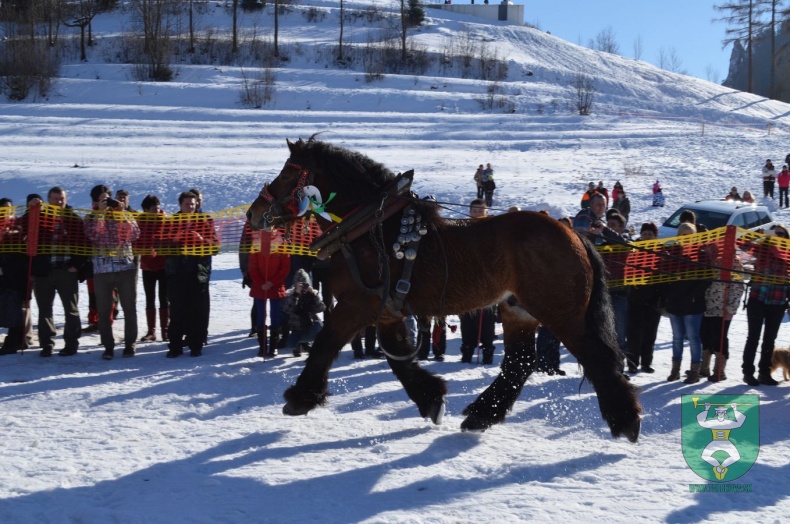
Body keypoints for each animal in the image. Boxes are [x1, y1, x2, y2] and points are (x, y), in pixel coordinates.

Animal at [248, 136, 644, 442]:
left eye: (288, 172)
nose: (254, 213)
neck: (372, 227)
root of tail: (573, 232)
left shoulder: (356, 304)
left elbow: (325, 344)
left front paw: (301, 397)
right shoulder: (387, 310)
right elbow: (397, 357)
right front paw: (431, 399)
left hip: (561, 312)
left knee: (597, 358)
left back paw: (625, 420)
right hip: (518, 309)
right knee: (519, 362)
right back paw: (482, 414)